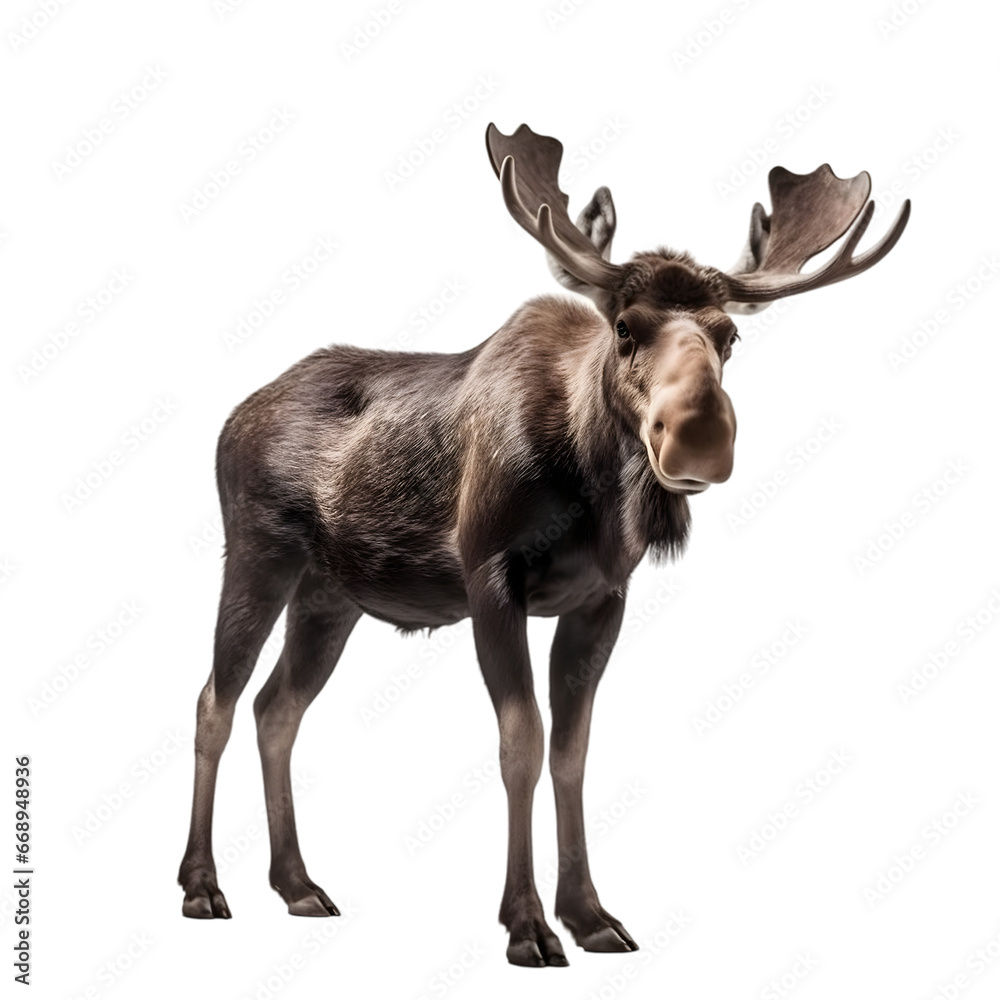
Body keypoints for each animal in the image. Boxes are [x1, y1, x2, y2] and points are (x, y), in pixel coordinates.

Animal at [178, 123, 910, 966]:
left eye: (727, 337)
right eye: (624, 327)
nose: (699, 435)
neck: (590, 490)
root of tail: (231, 419)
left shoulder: (600, 599)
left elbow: (572, 751)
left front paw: (590, 914)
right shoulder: (490, 579)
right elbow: (520, 743)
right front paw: (526, 923)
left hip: (332, 597)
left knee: (277, 709)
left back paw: (298, 883)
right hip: (258, 555)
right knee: (216, 700)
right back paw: (202, 885)